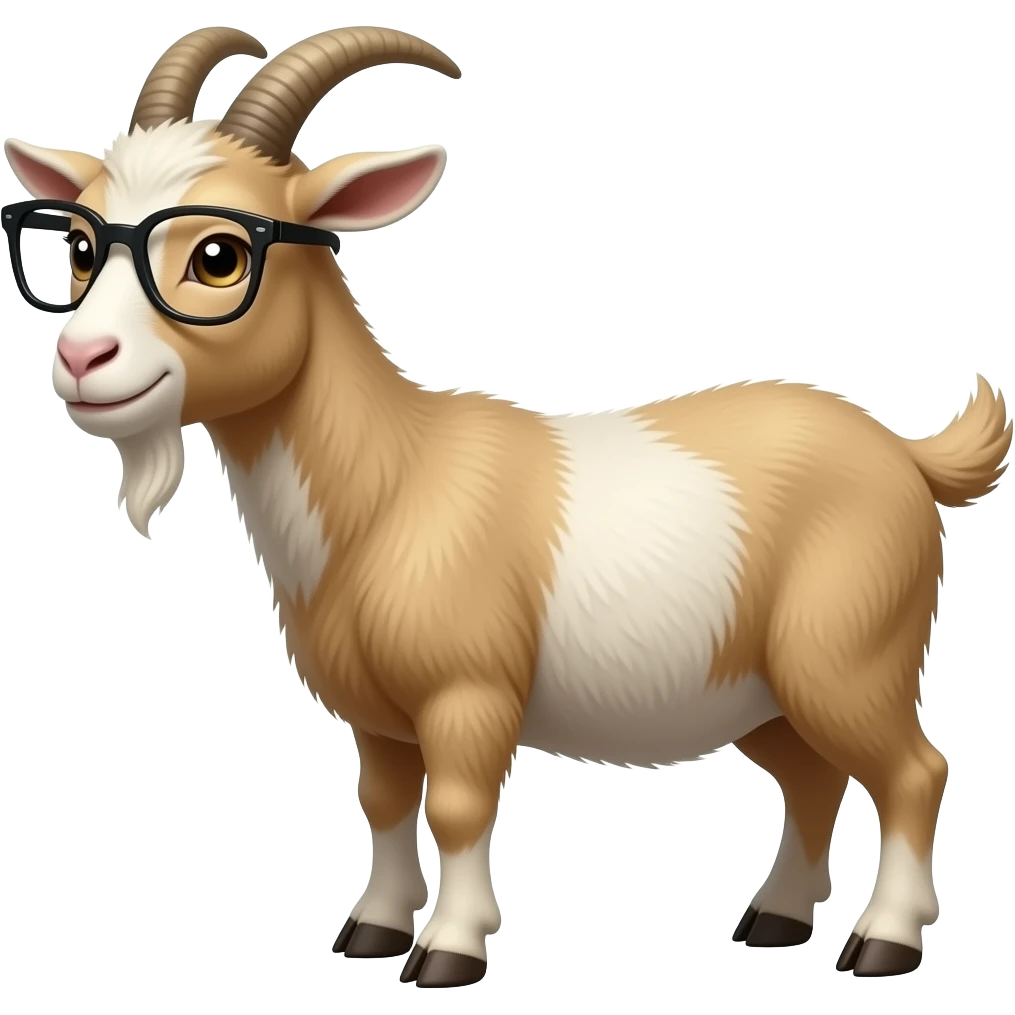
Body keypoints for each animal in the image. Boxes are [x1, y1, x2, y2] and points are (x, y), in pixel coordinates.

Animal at [3, 25, 1011, 989]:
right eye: (79, 248)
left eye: (219, 255)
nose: (82, 360)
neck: (390, 480)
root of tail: (906, 456)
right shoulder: (379, 716)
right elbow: (383, 800)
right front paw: (372, 929)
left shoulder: (468, 692)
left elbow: (456, 806)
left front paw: (448, 949)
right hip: (764, 689)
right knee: (813, 776)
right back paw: (775, 918)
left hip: (849, 653)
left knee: (912, 770)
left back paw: (882, 942)